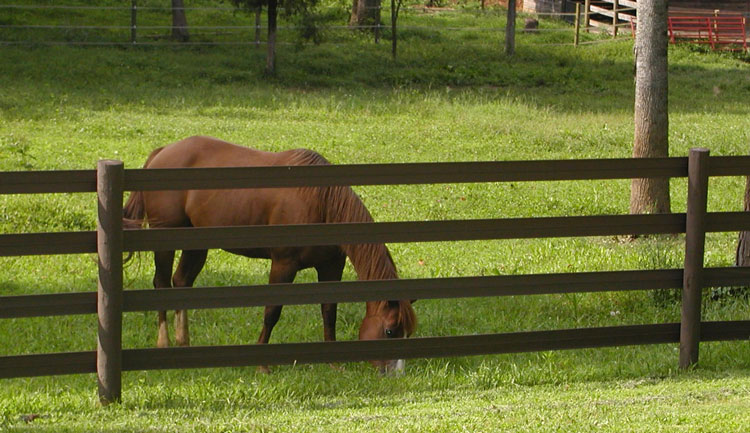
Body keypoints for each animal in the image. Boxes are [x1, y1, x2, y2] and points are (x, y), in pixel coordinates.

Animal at [123, 135, 418, 372]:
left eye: (406, 333)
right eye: (390, 330)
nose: (395, 373)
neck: (320, 202)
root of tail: (162, 152)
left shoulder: (331, 266)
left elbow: (329, 311)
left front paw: (334, 364)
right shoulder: (283, 264)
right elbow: (272, 312)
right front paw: (262, 365)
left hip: (196, 244)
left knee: (181, 282)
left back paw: (183, 345)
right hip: (165, 239)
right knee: (162, 284)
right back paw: (164, 344)